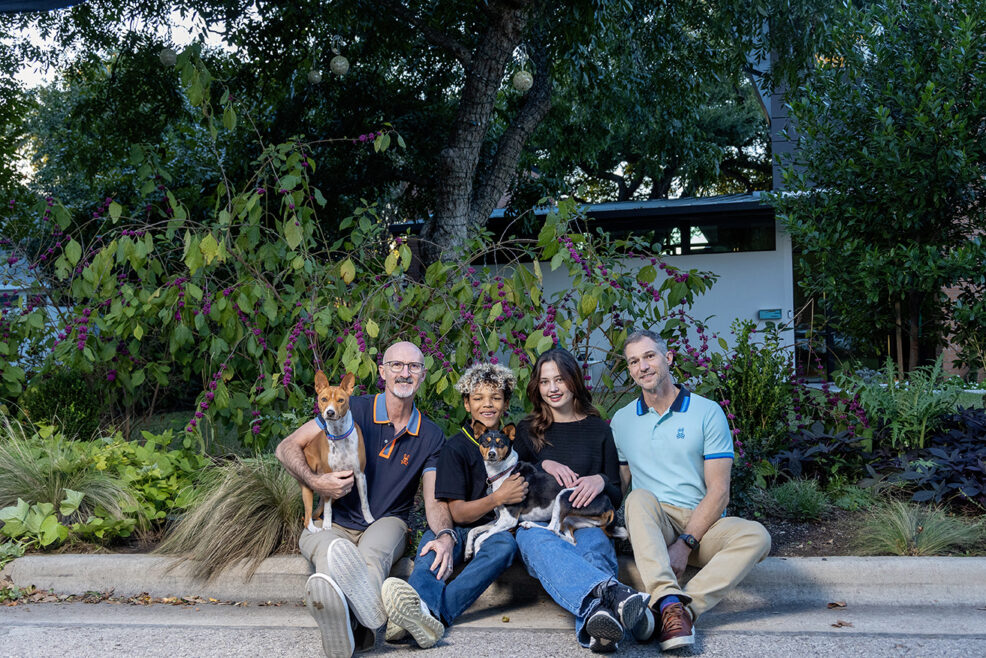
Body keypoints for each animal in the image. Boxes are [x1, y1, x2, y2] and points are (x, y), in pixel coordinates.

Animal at [300, 372, 372, 532]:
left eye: (340, 400)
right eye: (324, 399)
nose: (330, 412)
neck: (339, 435)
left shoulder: (360, 474)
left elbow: (364, 502)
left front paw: (369, 519)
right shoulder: (330, 480)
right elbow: (328, 509)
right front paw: (327, 524)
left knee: (317, 511)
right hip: (309, 488)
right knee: (307, 517)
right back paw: (315, 528)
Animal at [466, 420, 628, 560]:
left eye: (500, 444)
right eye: (485, 442)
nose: (491, 454)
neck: (503, 472)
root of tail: (609, 503)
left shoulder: (509, 519)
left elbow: (481, 537)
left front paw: (477, 551)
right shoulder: (499, 518)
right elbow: (474, 530)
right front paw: (468, 551)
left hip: (563, 496)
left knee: (552, 528)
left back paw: (529, 524)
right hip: (571, 520)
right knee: (570, 539)